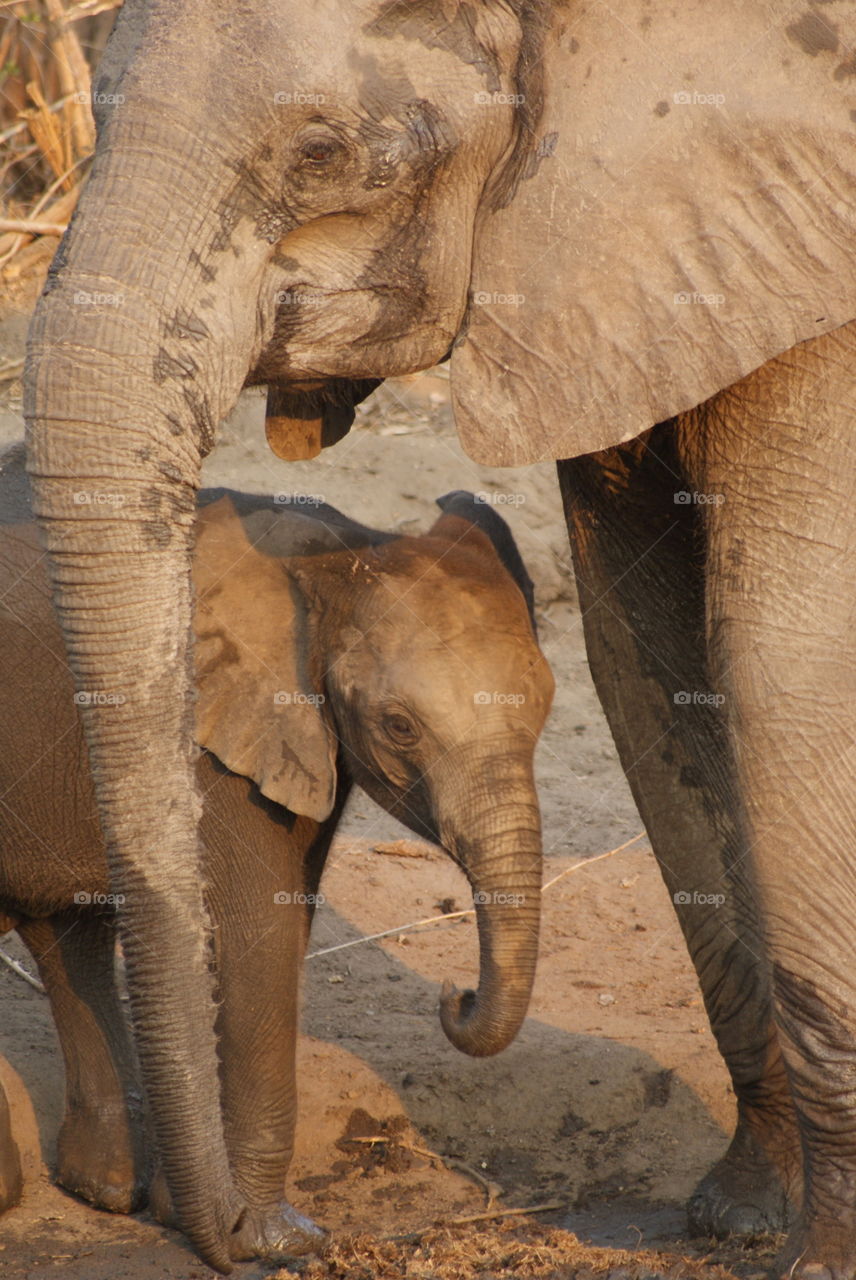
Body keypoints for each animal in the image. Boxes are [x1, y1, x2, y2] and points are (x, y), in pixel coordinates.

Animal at [0, 476, 550, 1264]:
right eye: (400, 727)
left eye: (546, 707)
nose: (455, 994)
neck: (342, 554)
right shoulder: (218, 742)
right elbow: (257, 930)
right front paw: (275, 1237)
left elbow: (285, 916)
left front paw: (197, 1213)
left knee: (65, 933)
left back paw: (104, 1188)